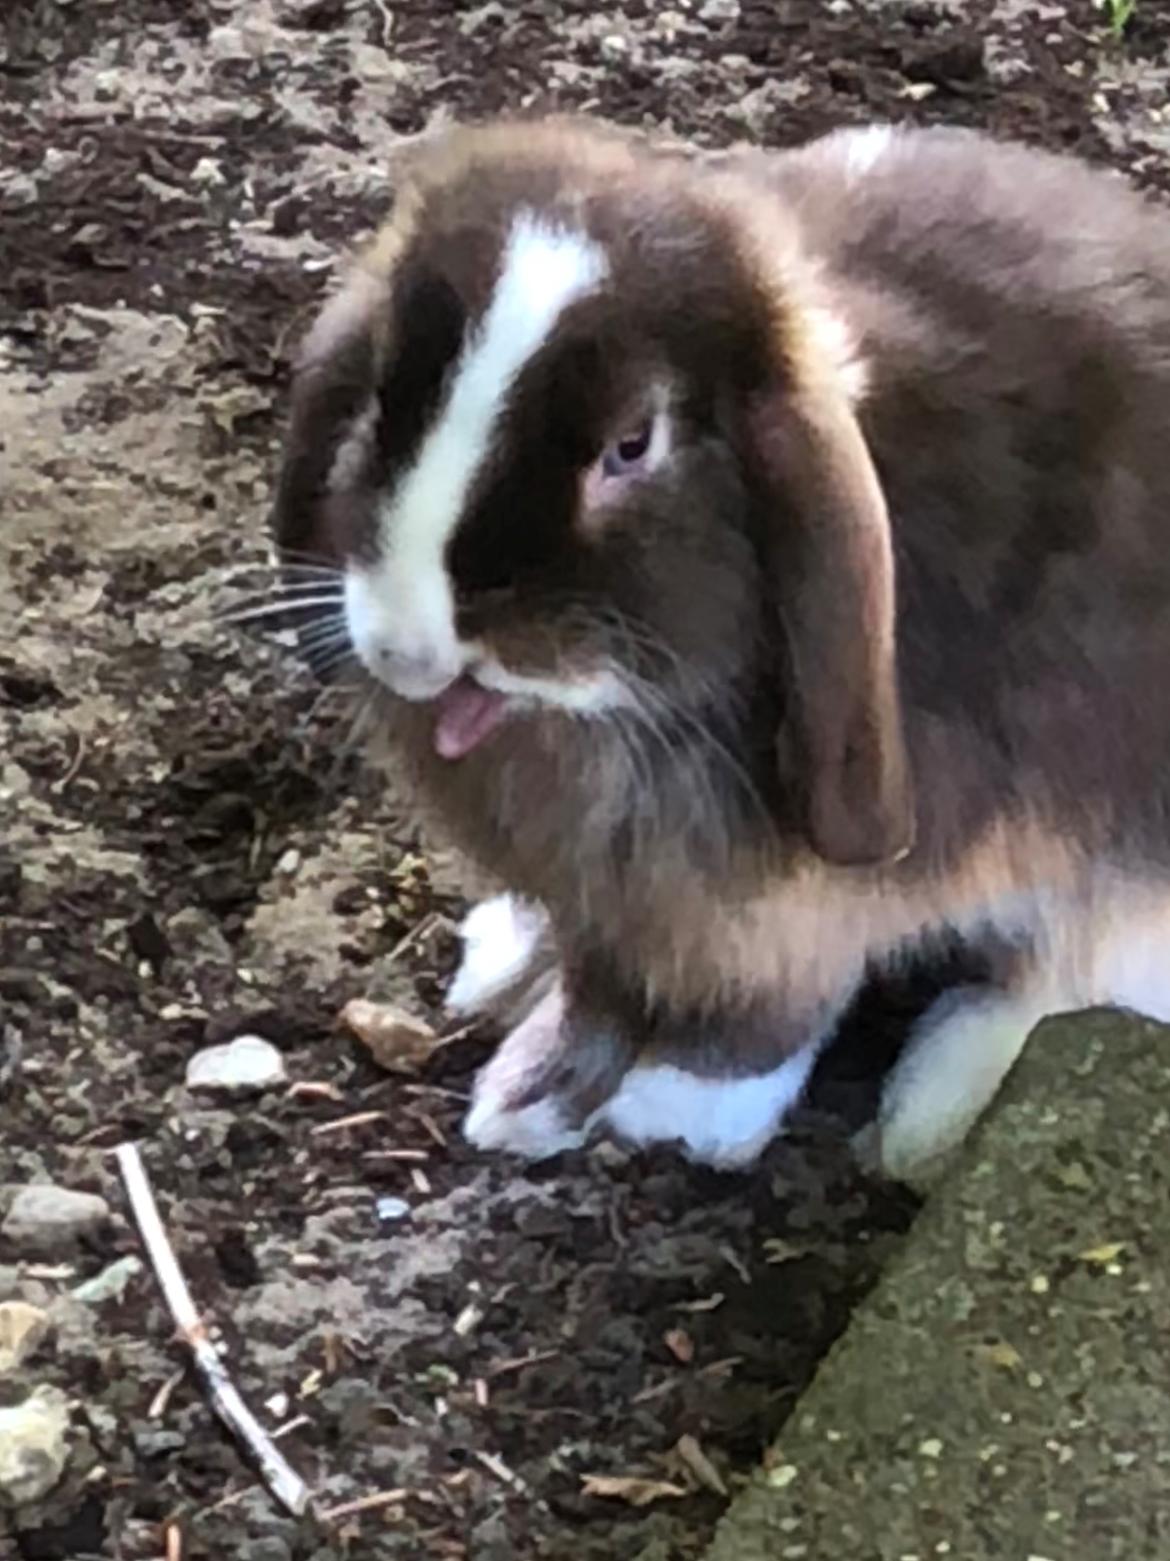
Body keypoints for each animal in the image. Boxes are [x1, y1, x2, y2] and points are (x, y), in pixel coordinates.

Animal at [273, 113, 1170, 1180]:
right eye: (380, 397)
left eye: (632, 445)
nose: (408, 648)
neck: (612, 715)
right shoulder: (608, 901)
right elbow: (596, 982)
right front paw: (530, 1095)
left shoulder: (789, 910)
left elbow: (773, 1008)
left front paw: (671, 1111)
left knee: (1071, 975)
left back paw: (930, 1111)